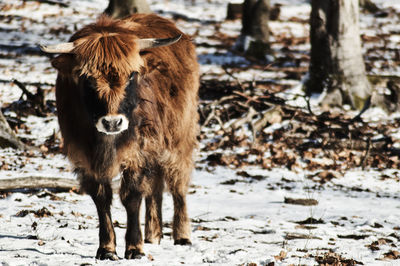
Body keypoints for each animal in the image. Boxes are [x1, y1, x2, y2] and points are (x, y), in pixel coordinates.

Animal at [41, 14, 200, 260]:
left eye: (132, 75)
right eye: (87, 78)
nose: (113, 122)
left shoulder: (137, 152)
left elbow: (131, 196)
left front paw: (134, 247)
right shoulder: (85, 156)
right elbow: (101, 198)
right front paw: (107, 248)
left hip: (178, 136)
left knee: (177, 183)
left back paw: (182, 235)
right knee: (155, 187)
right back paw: (153, 234)